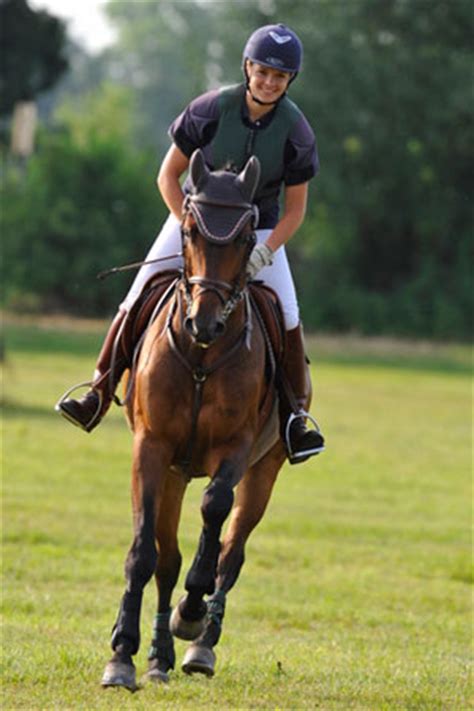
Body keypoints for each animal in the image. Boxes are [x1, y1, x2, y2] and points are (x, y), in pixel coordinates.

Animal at [101, 149, 306, 688]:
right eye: (190, 230)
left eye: (245, 239)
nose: (204, 322)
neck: (200, 356)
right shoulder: (151, 448)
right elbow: (145, 554)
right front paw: (122, 655)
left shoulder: (236, 449)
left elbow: (215, 513)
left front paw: (190, 613)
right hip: (174, 472)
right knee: (167, 559)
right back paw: (157, 657)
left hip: (265, 468)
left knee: (230, 553)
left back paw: (199, 647)